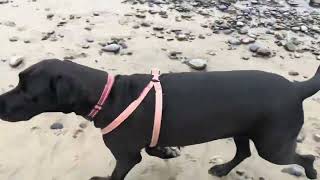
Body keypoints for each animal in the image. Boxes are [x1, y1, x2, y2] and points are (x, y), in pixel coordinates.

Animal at [0, 59, 318, 180]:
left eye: (27, 91)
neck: (108, 95)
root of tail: (297, 88)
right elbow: (155, 148)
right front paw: (167, 152)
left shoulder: (126, 156)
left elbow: (117, 174)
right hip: (243, 130)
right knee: (242, 152)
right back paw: (222, 169)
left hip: (273, 145)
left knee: (305, 158)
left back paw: (311, 172)